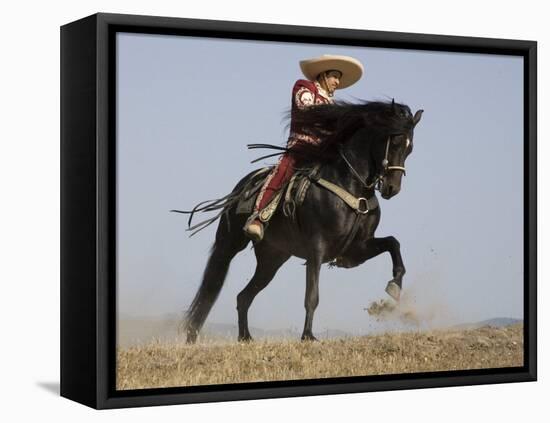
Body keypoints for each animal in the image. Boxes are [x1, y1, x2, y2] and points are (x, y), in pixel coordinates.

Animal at [177, 101, 422, 342]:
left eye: (410, 148)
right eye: (396, 141)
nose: (392, 188)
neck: (350, 185)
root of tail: (241, 187)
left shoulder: (357, 249)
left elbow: (393, 243)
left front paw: (395, 286)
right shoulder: (317, 248)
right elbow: (311, 295)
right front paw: (308, 336)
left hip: (272, 260)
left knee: (243, 297)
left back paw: (245, 337)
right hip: (230, 243)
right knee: (213, 286)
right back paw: (195, 335)